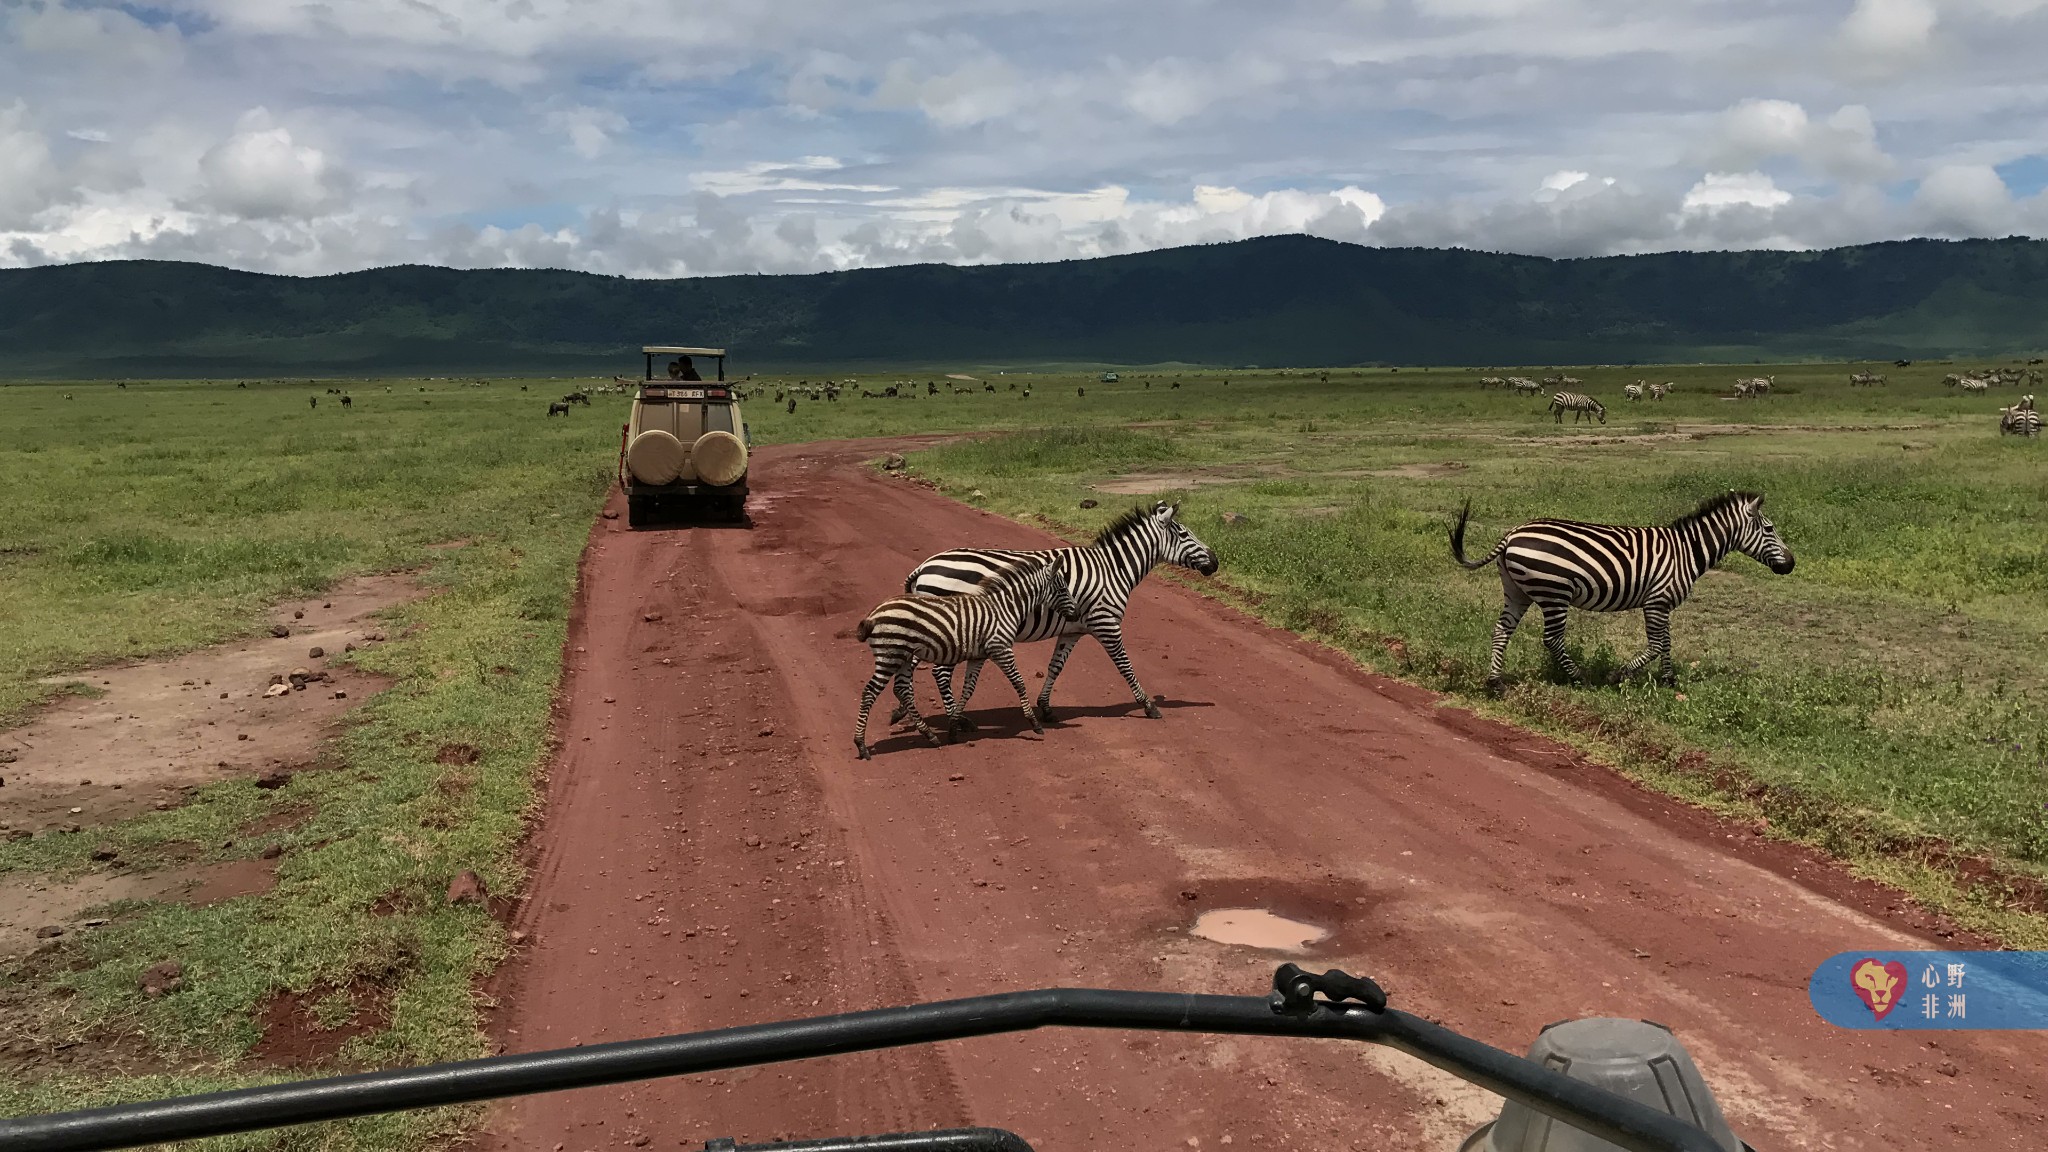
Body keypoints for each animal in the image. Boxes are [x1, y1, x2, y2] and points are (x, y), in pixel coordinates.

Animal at [847, 553, 1081, 754]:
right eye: (1063, 589)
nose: (1077, 613)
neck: (1006, 608)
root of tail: (873, 615)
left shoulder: (978, 656)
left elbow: (968, 689)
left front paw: (953, 728)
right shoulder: (1001, 648)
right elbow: (1019, 683)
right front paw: (1034, 723)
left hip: (902, 656)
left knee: (902, 689)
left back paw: (930, 735)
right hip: (890, 655)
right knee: (870, 692)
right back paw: (861, 745)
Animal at [892, 498, 1212, 721]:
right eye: (1185, 534)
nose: (1216, 562)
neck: (1113, 569)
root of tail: (924, 566)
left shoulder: (1073, 630)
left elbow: (1056, 667)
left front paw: (1045, 708)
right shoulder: (1106, 622)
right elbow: (1124, 665)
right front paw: (1148, 706)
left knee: (911, 664)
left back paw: (903, 711)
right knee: (938, 672)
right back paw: (956, 721)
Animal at [1458, 485, 1794, 688]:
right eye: (1769, 529)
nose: (1791, 564)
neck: (1687, 550)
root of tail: (1511, 534)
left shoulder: (1662, 603)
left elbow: (1666, 643)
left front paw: (1669, 680)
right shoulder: (1656, 601)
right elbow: (1657, 645)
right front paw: (1617, 675)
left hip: (1517, 590)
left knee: (1502, 630)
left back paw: (1495, 682)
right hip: (1554, 593)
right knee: (1552, 639)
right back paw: (1581, 677)